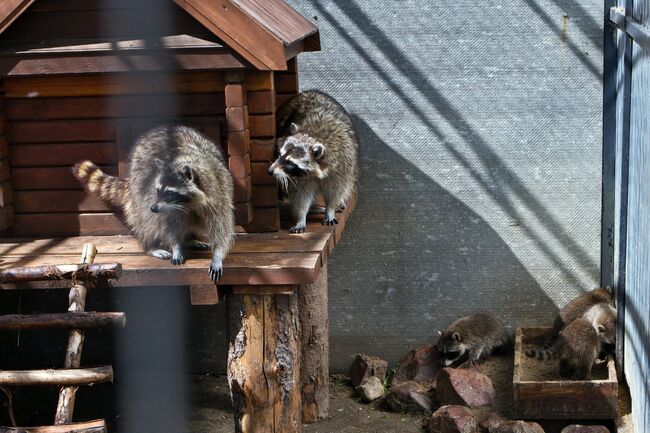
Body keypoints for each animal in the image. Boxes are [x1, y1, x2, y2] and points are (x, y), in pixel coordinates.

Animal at [73, 125, 233, 280]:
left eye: (169, 193)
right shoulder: (163, 203)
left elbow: (222, 226)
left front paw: (217, 255)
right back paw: (150, 246)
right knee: (148, 221)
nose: (154, 208)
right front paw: (176, 246)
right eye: (158, 191)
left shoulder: (219, 193)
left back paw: (188, 240)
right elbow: (169, 225)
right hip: (139, 189)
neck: (187, 204)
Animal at [268, 90, 360, 235]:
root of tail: (310, 91)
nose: (270, 171)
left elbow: (335, 190)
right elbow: (301, 196)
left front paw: (330, 209)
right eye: (280, 155)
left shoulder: (342, 164)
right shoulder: (300, 178)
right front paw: (301, 218)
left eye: (289, 162)